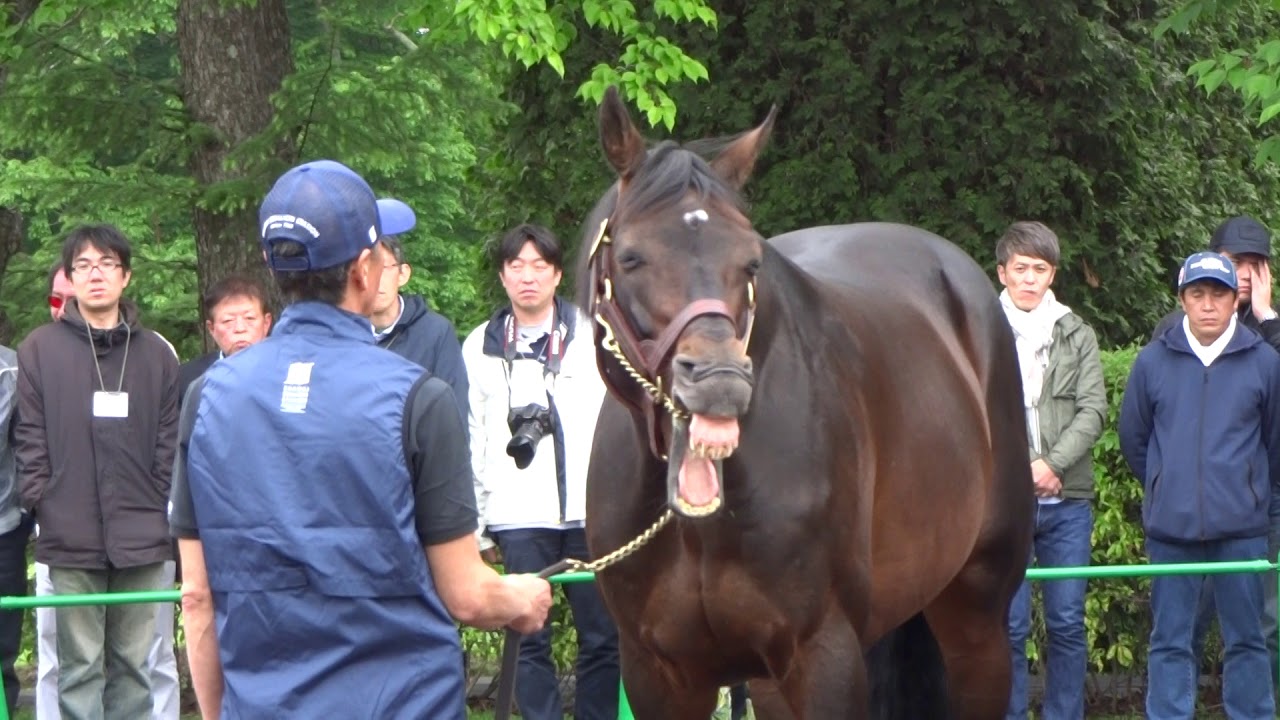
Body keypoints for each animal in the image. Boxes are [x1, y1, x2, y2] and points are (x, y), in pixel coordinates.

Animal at [577, 86, 1034, 720]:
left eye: (751, 261)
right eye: (630, 258)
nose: (719, 381)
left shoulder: (824, 654)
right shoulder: (658, 674)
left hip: (976, 618)